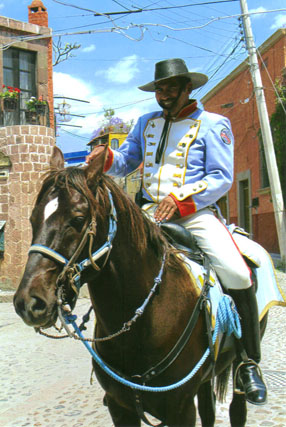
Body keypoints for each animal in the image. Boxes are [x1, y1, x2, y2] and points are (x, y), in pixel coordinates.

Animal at [13, 148, 268, 427]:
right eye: (33, 218)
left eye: (78, 219)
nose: (29, 302)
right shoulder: (119, 406)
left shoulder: (181, 409)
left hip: (238, 363)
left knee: (238, 405)